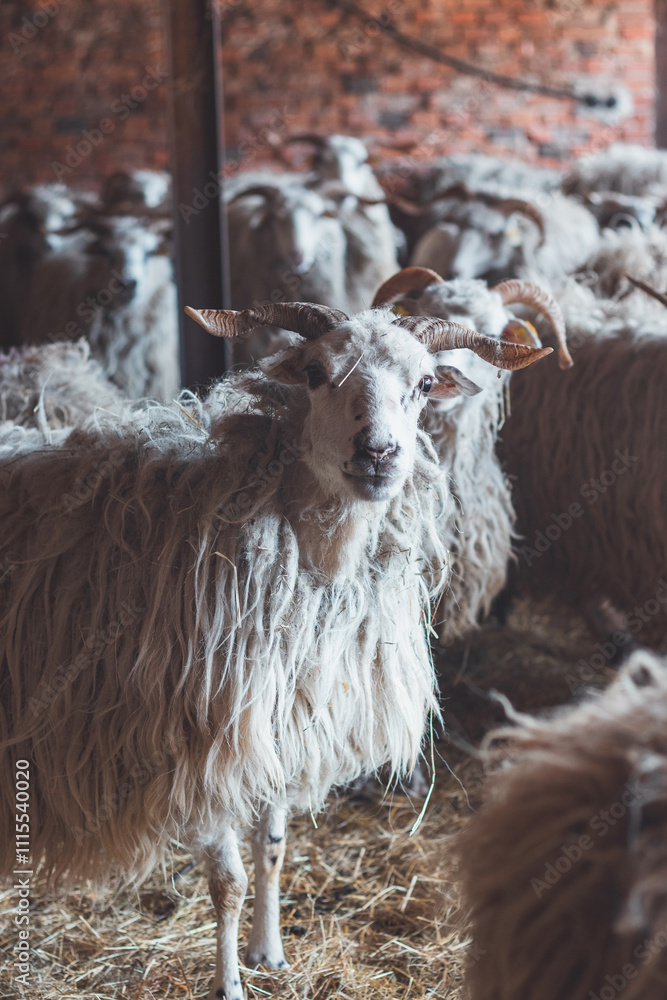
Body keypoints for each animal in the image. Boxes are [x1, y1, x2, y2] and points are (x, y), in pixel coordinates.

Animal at [0, 297, 551, 999]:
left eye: (426, 383)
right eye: (315, 373)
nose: (379, 453)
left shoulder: (286, 726)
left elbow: (274, 848)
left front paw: (270, 953)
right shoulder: (204, 748)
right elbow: (228, 882)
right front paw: (230, 984)